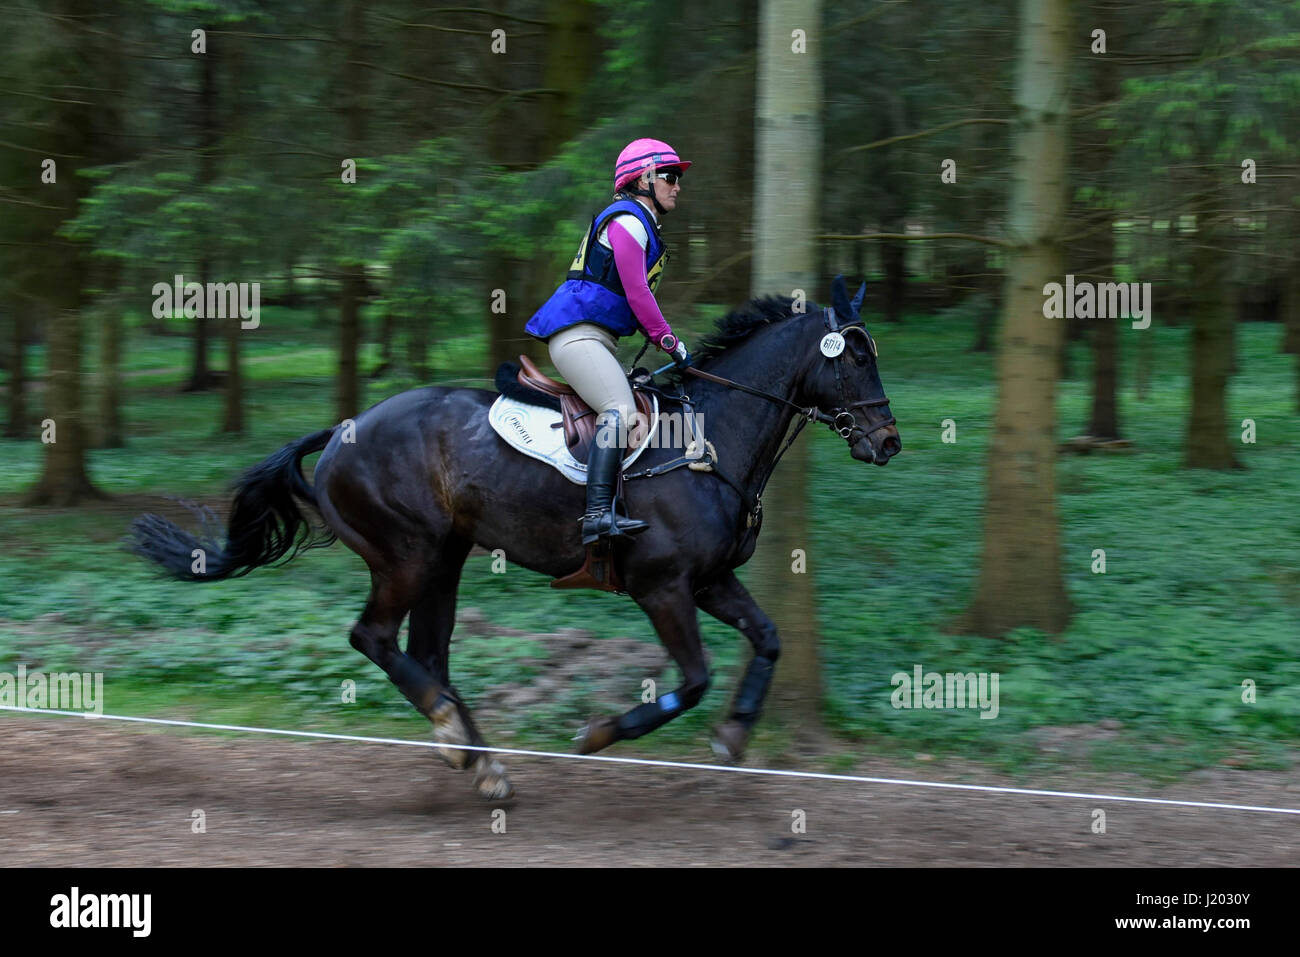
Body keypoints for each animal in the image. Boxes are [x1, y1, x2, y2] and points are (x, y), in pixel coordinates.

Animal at [134, 274, 904, 800]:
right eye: (854, 358)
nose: (888, 442)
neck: (710, 438)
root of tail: (343, 429)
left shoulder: (711, 580)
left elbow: (768, 639)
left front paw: (736, 732)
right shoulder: (662, 587)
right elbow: (693, 679)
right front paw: (599, 734)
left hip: (444, 557)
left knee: (427, 652)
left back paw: (481, 762)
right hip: (406, 555)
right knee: (374, 638)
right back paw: (455, 739)